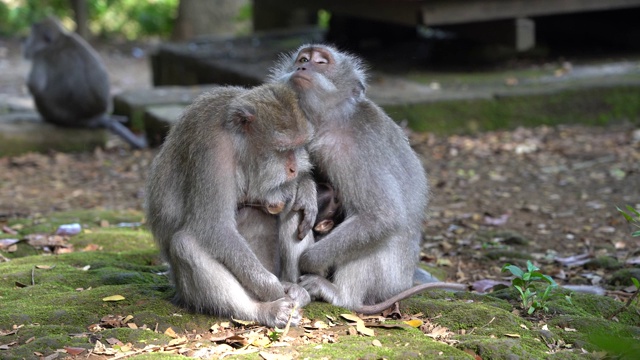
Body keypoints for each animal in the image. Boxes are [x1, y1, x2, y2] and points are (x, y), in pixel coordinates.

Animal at [22, 15, 148, 149]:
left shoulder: (41, 57)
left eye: (31, 36)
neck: (58, 40)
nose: (25, 45)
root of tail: (93, 118)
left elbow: (35, 86)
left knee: (39, 96)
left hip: (60, 117)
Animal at [144, 82, 316, 330]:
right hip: (188, 290)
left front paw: (306, 188)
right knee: (185, 243)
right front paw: (273, 289)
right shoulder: (213, 148)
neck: (239, 143)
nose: (293, 169)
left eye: (299, 146)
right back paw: (266, 310)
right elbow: (215, 227)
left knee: (295, 210)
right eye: (283, 149)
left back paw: (295, 288)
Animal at [268, 44, 468, 312]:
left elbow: (381, 216)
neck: (331, 120)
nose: (302, 67)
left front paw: (310, 261)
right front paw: (308, 190)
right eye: (302, 59)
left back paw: (342, 295)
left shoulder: (351, 151)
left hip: (387, 280)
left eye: (321, 62)